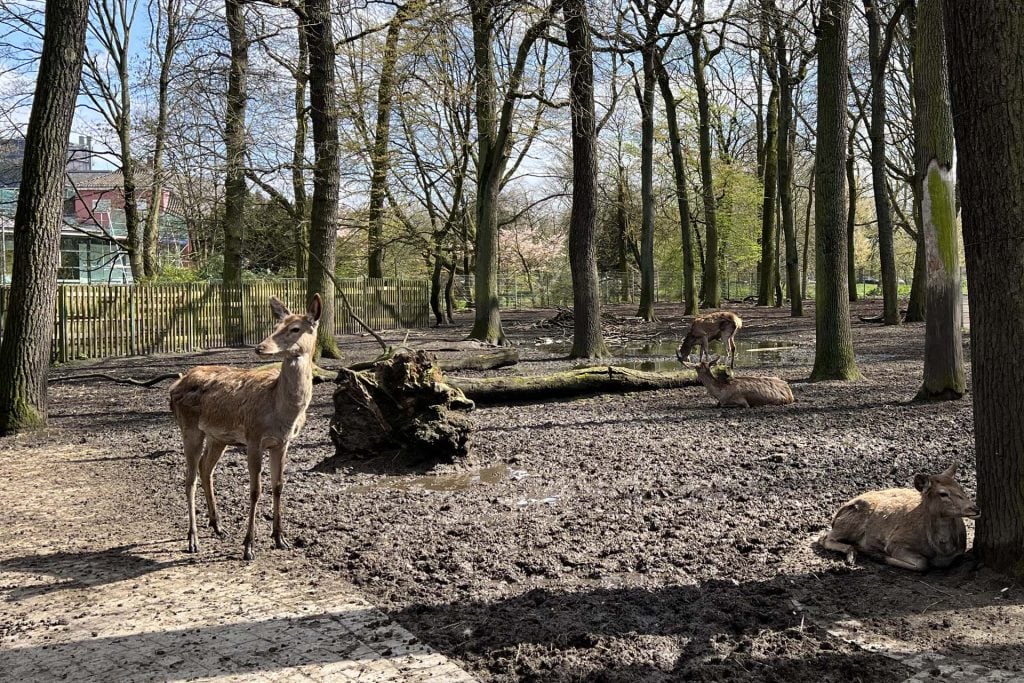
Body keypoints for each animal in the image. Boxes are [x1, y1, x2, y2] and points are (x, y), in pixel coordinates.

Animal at [167, 294, 321, 561]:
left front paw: (280, 539)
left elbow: (278, 486)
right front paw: (249, 546)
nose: (260, 347)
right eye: (275, 325)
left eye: (295, 328)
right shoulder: (253, 438)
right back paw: (193, 540)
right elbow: (255, 490)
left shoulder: (282, 443)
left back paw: (218, 526)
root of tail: (173, 386)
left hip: (217, 437)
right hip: (189, 428)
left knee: (205, 468)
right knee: (189, 478)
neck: (280, 411)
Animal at [819, 464, 978, 573]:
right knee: (825, 538)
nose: (975, 508)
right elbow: (922, 563)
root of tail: (837, 515)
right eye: (943, 493)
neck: (941, 550)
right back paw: (853, 554)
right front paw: (878, 556)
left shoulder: (959, 553)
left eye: (961, 488)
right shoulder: (896, 542)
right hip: (851, 521)